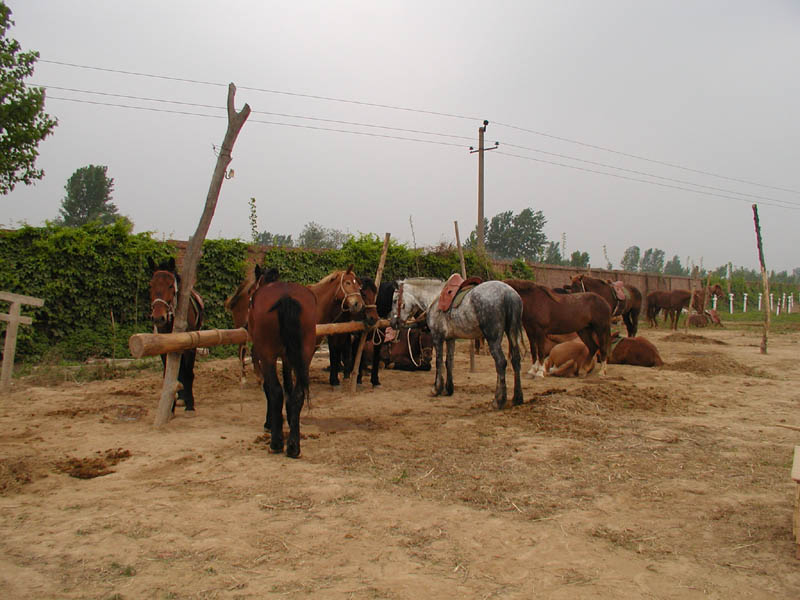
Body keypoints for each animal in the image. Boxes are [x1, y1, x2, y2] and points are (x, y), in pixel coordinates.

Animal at [148, 255, 205, 414]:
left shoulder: (190, 345)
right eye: (151, 285)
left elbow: (188, 373)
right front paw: (171, 406)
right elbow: (168, 373)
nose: (158, 318)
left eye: (170, 286)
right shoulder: (164, 346)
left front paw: (190, 404)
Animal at [248, 264, 318, 458]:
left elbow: (270, 388)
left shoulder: (264, 356)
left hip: (267, 355)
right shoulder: (288, 358)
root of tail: (286, 296)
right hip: (305, 355)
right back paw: (294, 445)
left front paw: (270, 422)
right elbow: (289, 388)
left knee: (275, 391)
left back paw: (277, 442)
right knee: (298, 393)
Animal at [392, 276, 528, 408]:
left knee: (500, 362)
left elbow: (439, 362)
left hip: (493, 338)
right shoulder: (450, 339)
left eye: (394, 300)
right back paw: (517, 398)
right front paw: (448, 389)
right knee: (516, 360)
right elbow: (449, 362)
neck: (434, 299)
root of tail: (509, 294)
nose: (393, 323)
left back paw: (498, 401)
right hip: (511, 333)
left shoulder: (437, 337)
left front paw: (436, 389)